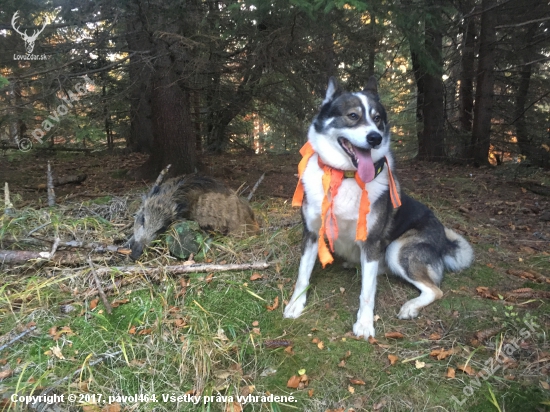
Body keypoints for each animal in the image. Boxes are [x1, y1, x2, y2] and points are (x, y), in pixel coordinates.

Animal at [284, 77, 474, 338]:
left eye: (377, 119)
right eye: (353, 116)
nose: (375, 138)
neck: (346, 176)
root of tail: (444, 240)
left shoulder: (371, 242)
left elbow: (367, 292)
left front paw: (364, 324)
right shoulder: (312, 234)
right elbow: (303, 276)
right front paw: (295, 304)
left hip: (397, 249)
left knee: (434, 290)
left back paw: (410, 307)